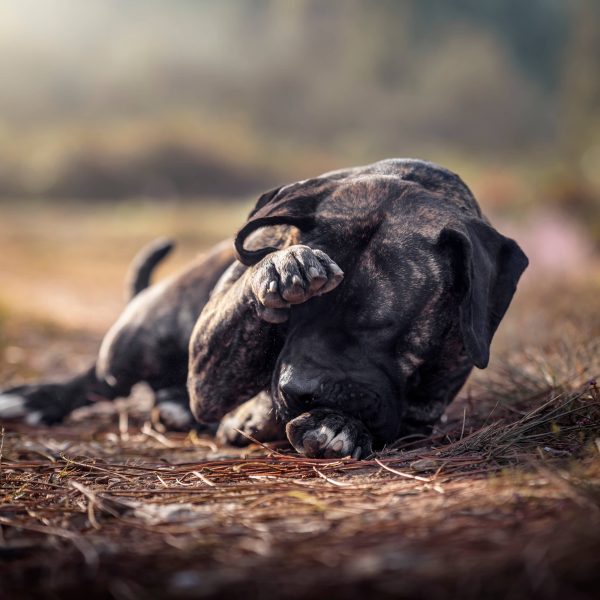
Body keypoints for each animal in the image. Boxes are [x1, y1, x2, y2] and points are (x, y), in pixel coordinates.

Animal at [0, 159, 524, 460]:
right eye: (290, 319)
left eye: (381, 324)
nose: (296, 390)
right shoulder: (208, 370)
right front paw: (282, 265)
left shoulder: (422, 413)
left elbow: (385, 423)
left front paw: (336, 425)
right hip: (136, 342)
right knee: (99, 379)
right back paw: (36, 400)